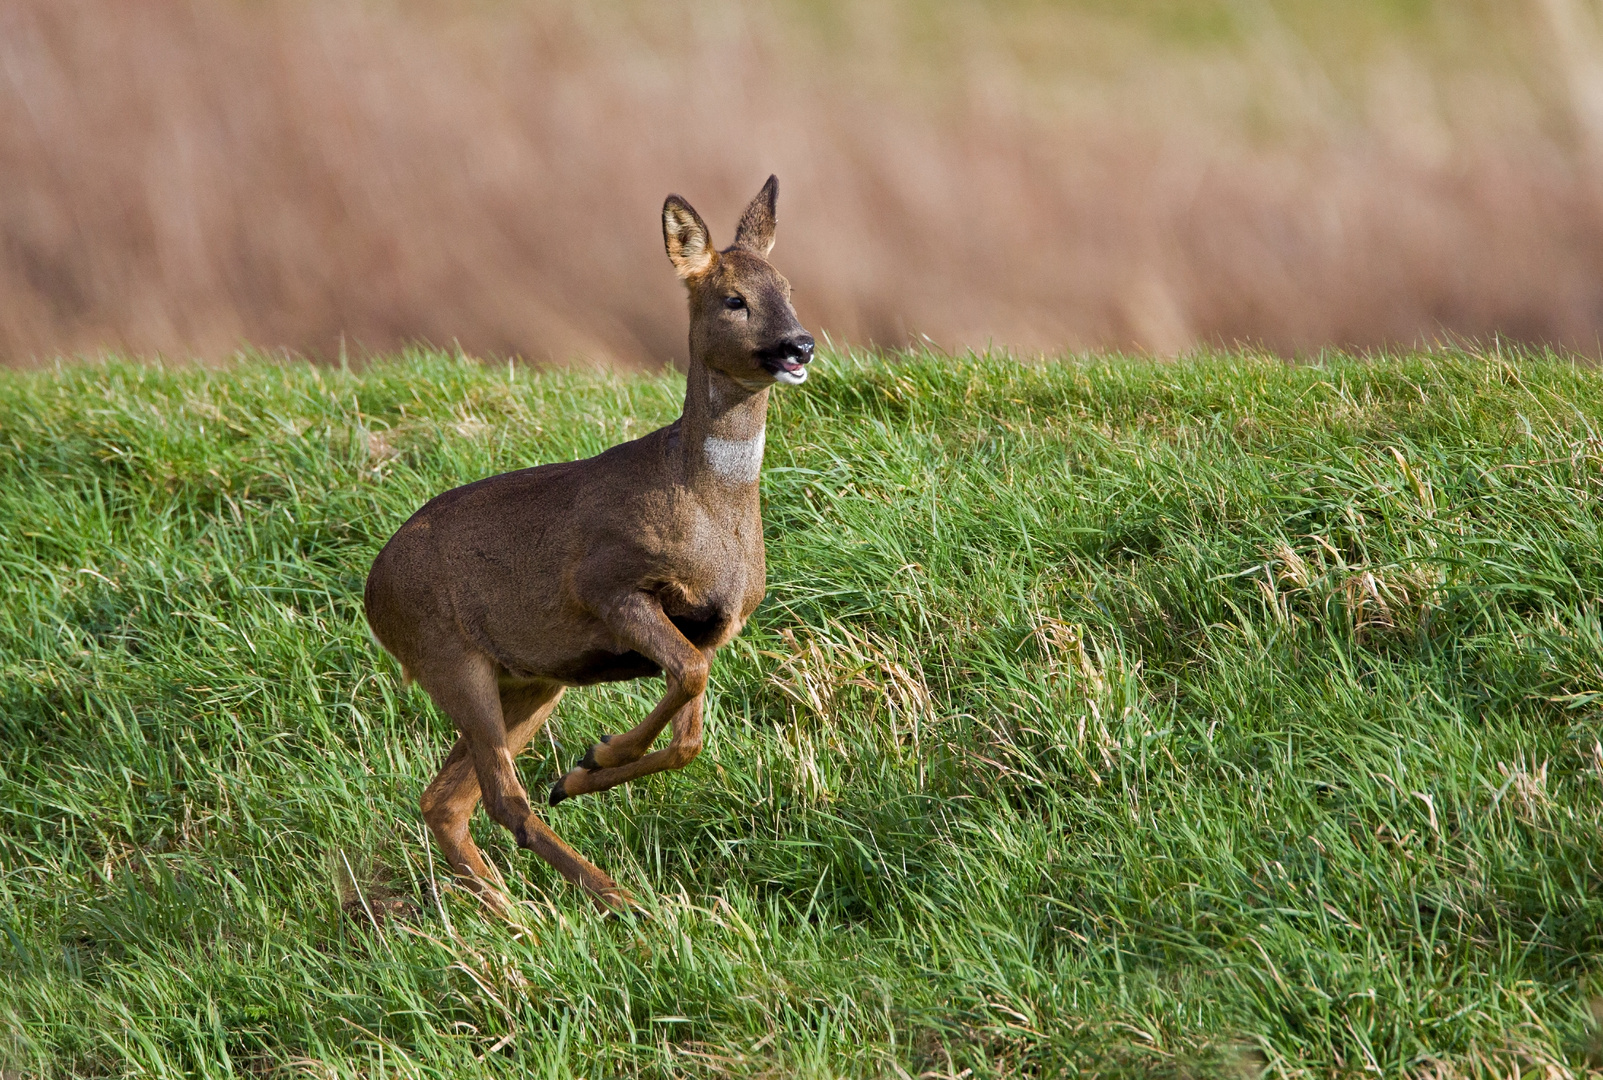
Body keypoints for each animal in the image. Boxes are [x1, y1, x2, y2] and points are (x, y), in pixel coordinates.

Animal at [365, 176, 814, 910]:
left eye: (787, 286)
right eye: (733, 299)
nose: (798, 346)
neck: (707, 510)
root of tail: (371, 594)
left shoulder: (716, 625)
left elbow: (691, 732)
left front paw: (582, 769)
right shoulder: (608, 585)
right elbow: (689, 680)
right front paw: (592, 760)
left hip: (527, 677)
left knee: (446, 799)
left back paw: (510, 907)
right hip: (447, 654)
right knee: (499, 799)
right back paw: (604, 903)